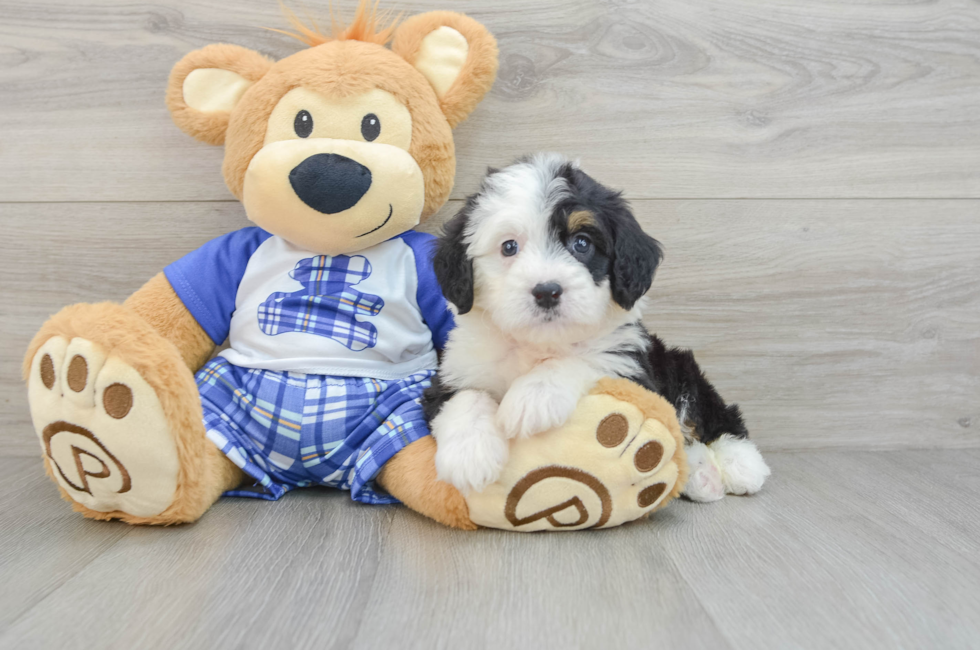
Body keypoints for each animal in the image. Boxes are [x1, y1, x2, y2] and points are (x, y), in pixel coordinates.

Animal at [424, 154, 768, 498]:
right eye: (509, 247)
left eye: (581, 243)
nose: (546, 291)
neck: (538, 345)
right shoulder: (452, 373)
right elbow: (465, 397)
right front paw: (470, 456)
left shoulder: (632, 369)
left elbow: (584, 358)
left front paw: (533, 397)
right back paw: (701, 475)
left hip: (678, 366)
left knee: (713, 415)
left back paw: (741, 464)